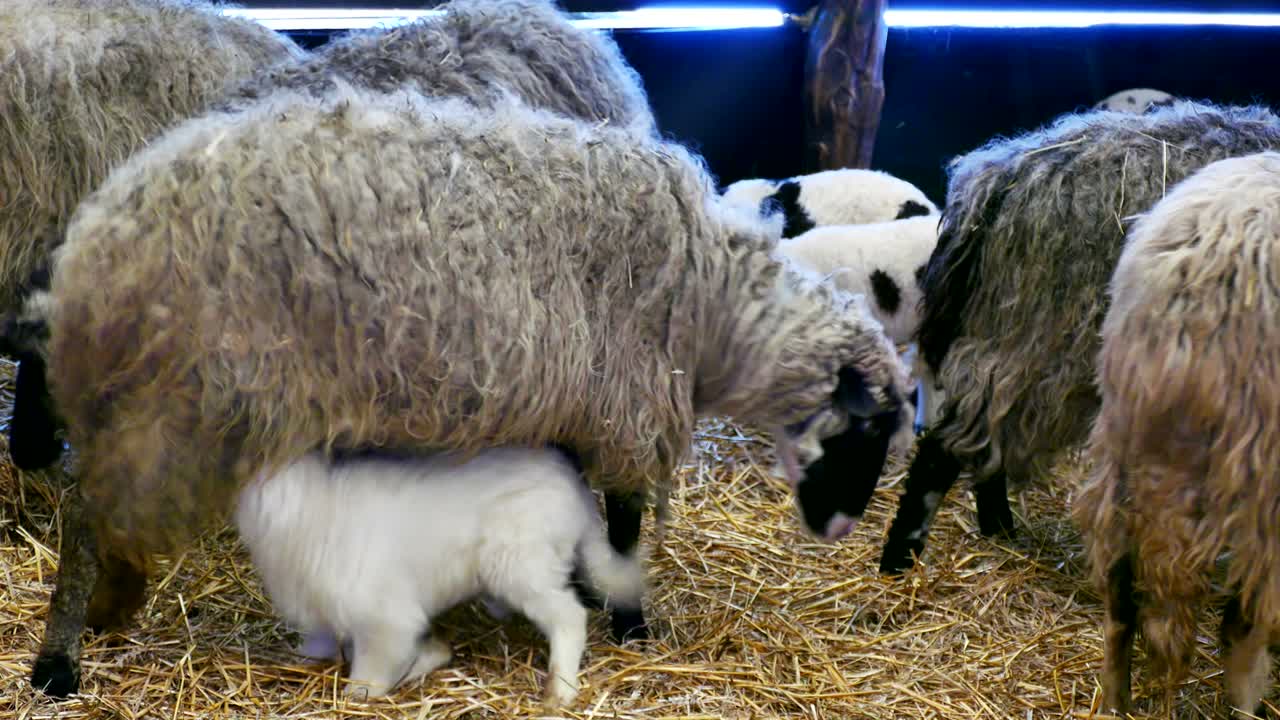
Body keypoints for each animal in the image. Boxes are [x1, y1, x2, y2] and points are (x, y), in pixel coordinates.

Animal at [234, 443, 646, 707]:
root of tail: (578, 494)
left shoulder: (386, 623)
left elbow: (369, 678)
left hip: (522, 568)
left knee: (569, 617)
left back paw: (559, 692)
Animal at [876, 100, 1280, 576]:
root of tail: (995, 178)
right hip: (1043, 343)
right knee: (947, 446)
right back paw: (901, 558)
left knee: (985, 444)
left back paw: (998, 530)